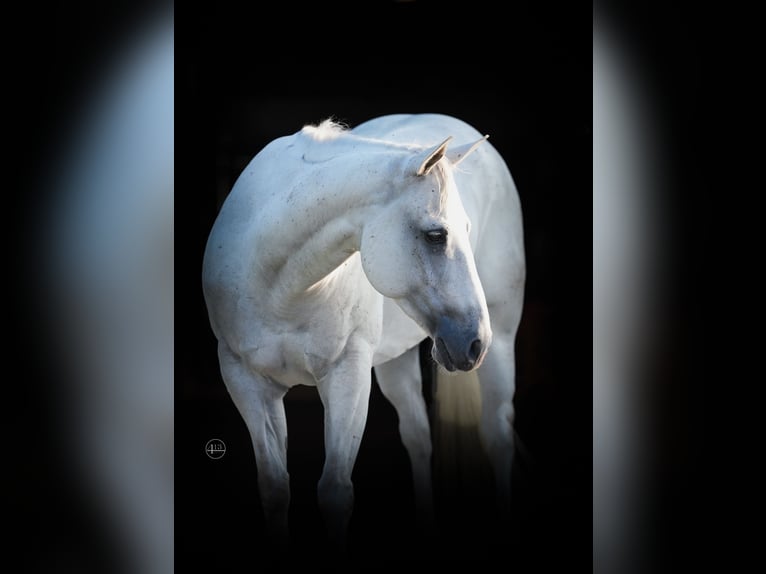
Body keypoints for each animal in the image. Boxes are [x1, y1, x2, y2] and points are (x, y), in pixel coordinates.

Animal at [202, 113, 528, 552]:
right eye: (436, 235)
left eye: (465, 229)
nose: (475, 342)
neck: (278, 284)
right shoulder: (246, 381)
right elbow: (274, 487)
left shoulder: (348, 376)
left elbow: (335, 491)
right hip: (396, 361)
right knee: (418, 436)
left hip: (503, 343)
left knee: (496, 435)